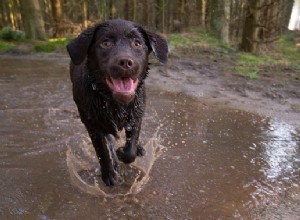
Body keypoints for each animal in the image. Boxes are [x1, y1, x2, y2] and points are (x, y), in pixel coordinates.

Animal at [66, 19, 169, 186]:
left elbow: (131, 147)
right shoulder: (92, 124)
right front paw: (109, 173)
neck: (114, 103)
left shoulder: (136, 115)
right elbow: (102, 150)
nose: (125, 62)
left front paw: (124, 152)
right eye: (105, 43)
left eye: (137, 43)